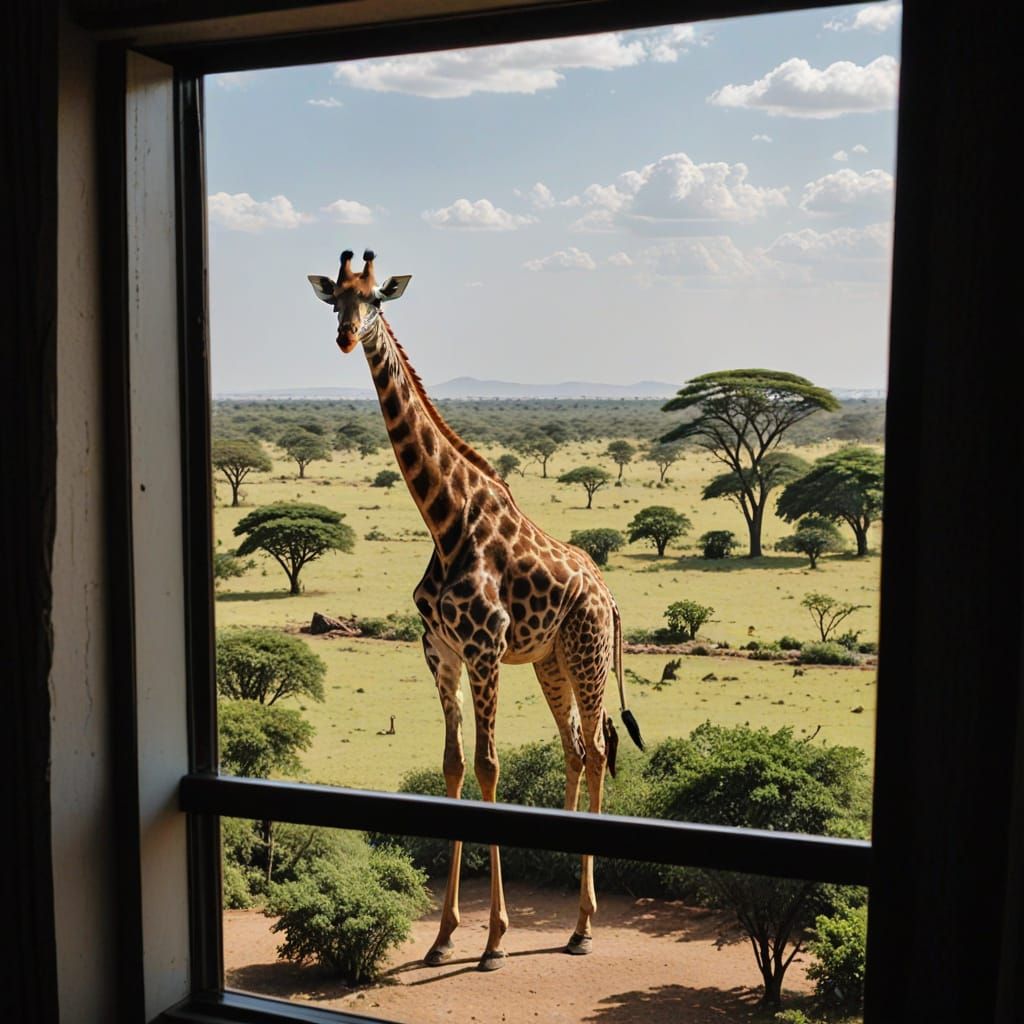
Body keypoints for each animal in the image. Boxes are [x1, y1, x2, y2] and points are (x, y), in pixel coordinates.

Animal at [308, 249, 644, 971]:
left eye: (376, 299)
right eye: (335, 300)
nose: (347, 337)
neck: (444, 519)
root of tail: (609, 596)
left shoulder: (485, 647)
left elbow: (489, 768)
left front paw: (493, 939)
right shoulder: (439, 650)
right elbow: (455, 766)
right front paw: (442, 937)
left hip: (586, 653)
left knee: (598, 751)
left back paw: (585, 926)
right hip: (549, 661)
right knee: (575, 750)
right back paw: (571, 921)